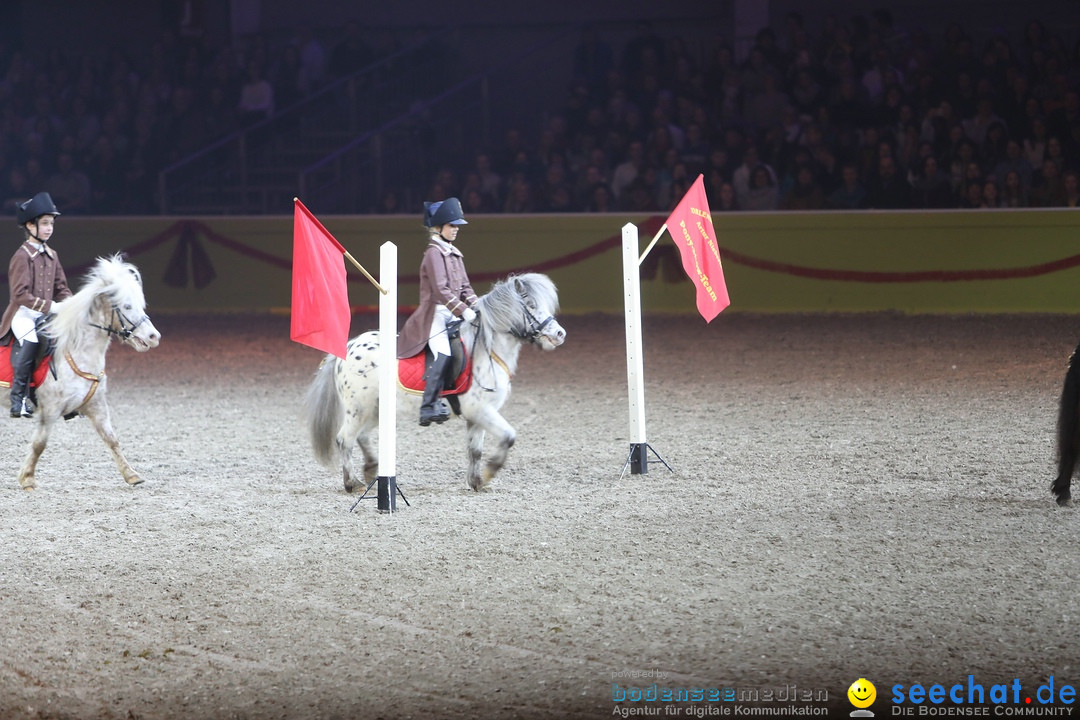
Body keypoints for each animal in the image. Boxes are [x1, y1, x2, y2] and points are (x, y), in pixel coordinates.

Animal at [17, 254, 159, 490]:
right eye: (127, 306)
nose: (154, 336)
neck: (79, 353)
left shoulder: (97, 406)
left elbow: (112, 439)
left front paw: (131, 475)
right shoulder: (50, 409)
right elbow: (39, 444)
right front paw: (27, 479)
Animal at [304, 273, 565, 492]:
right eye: (532, 306)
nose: (560, 334)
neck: (487, 350)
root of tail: (348, 346)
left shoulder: (478, 414)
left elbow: (475, 450)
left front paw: (477, 482)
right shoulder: (480, 409)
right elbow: (509, 436)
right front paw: (490, 472)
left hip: (375, 410)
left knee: (361, 437)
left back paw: (370, 471)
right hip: (358, 408)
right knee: (344, 439)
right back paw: (353, 484)